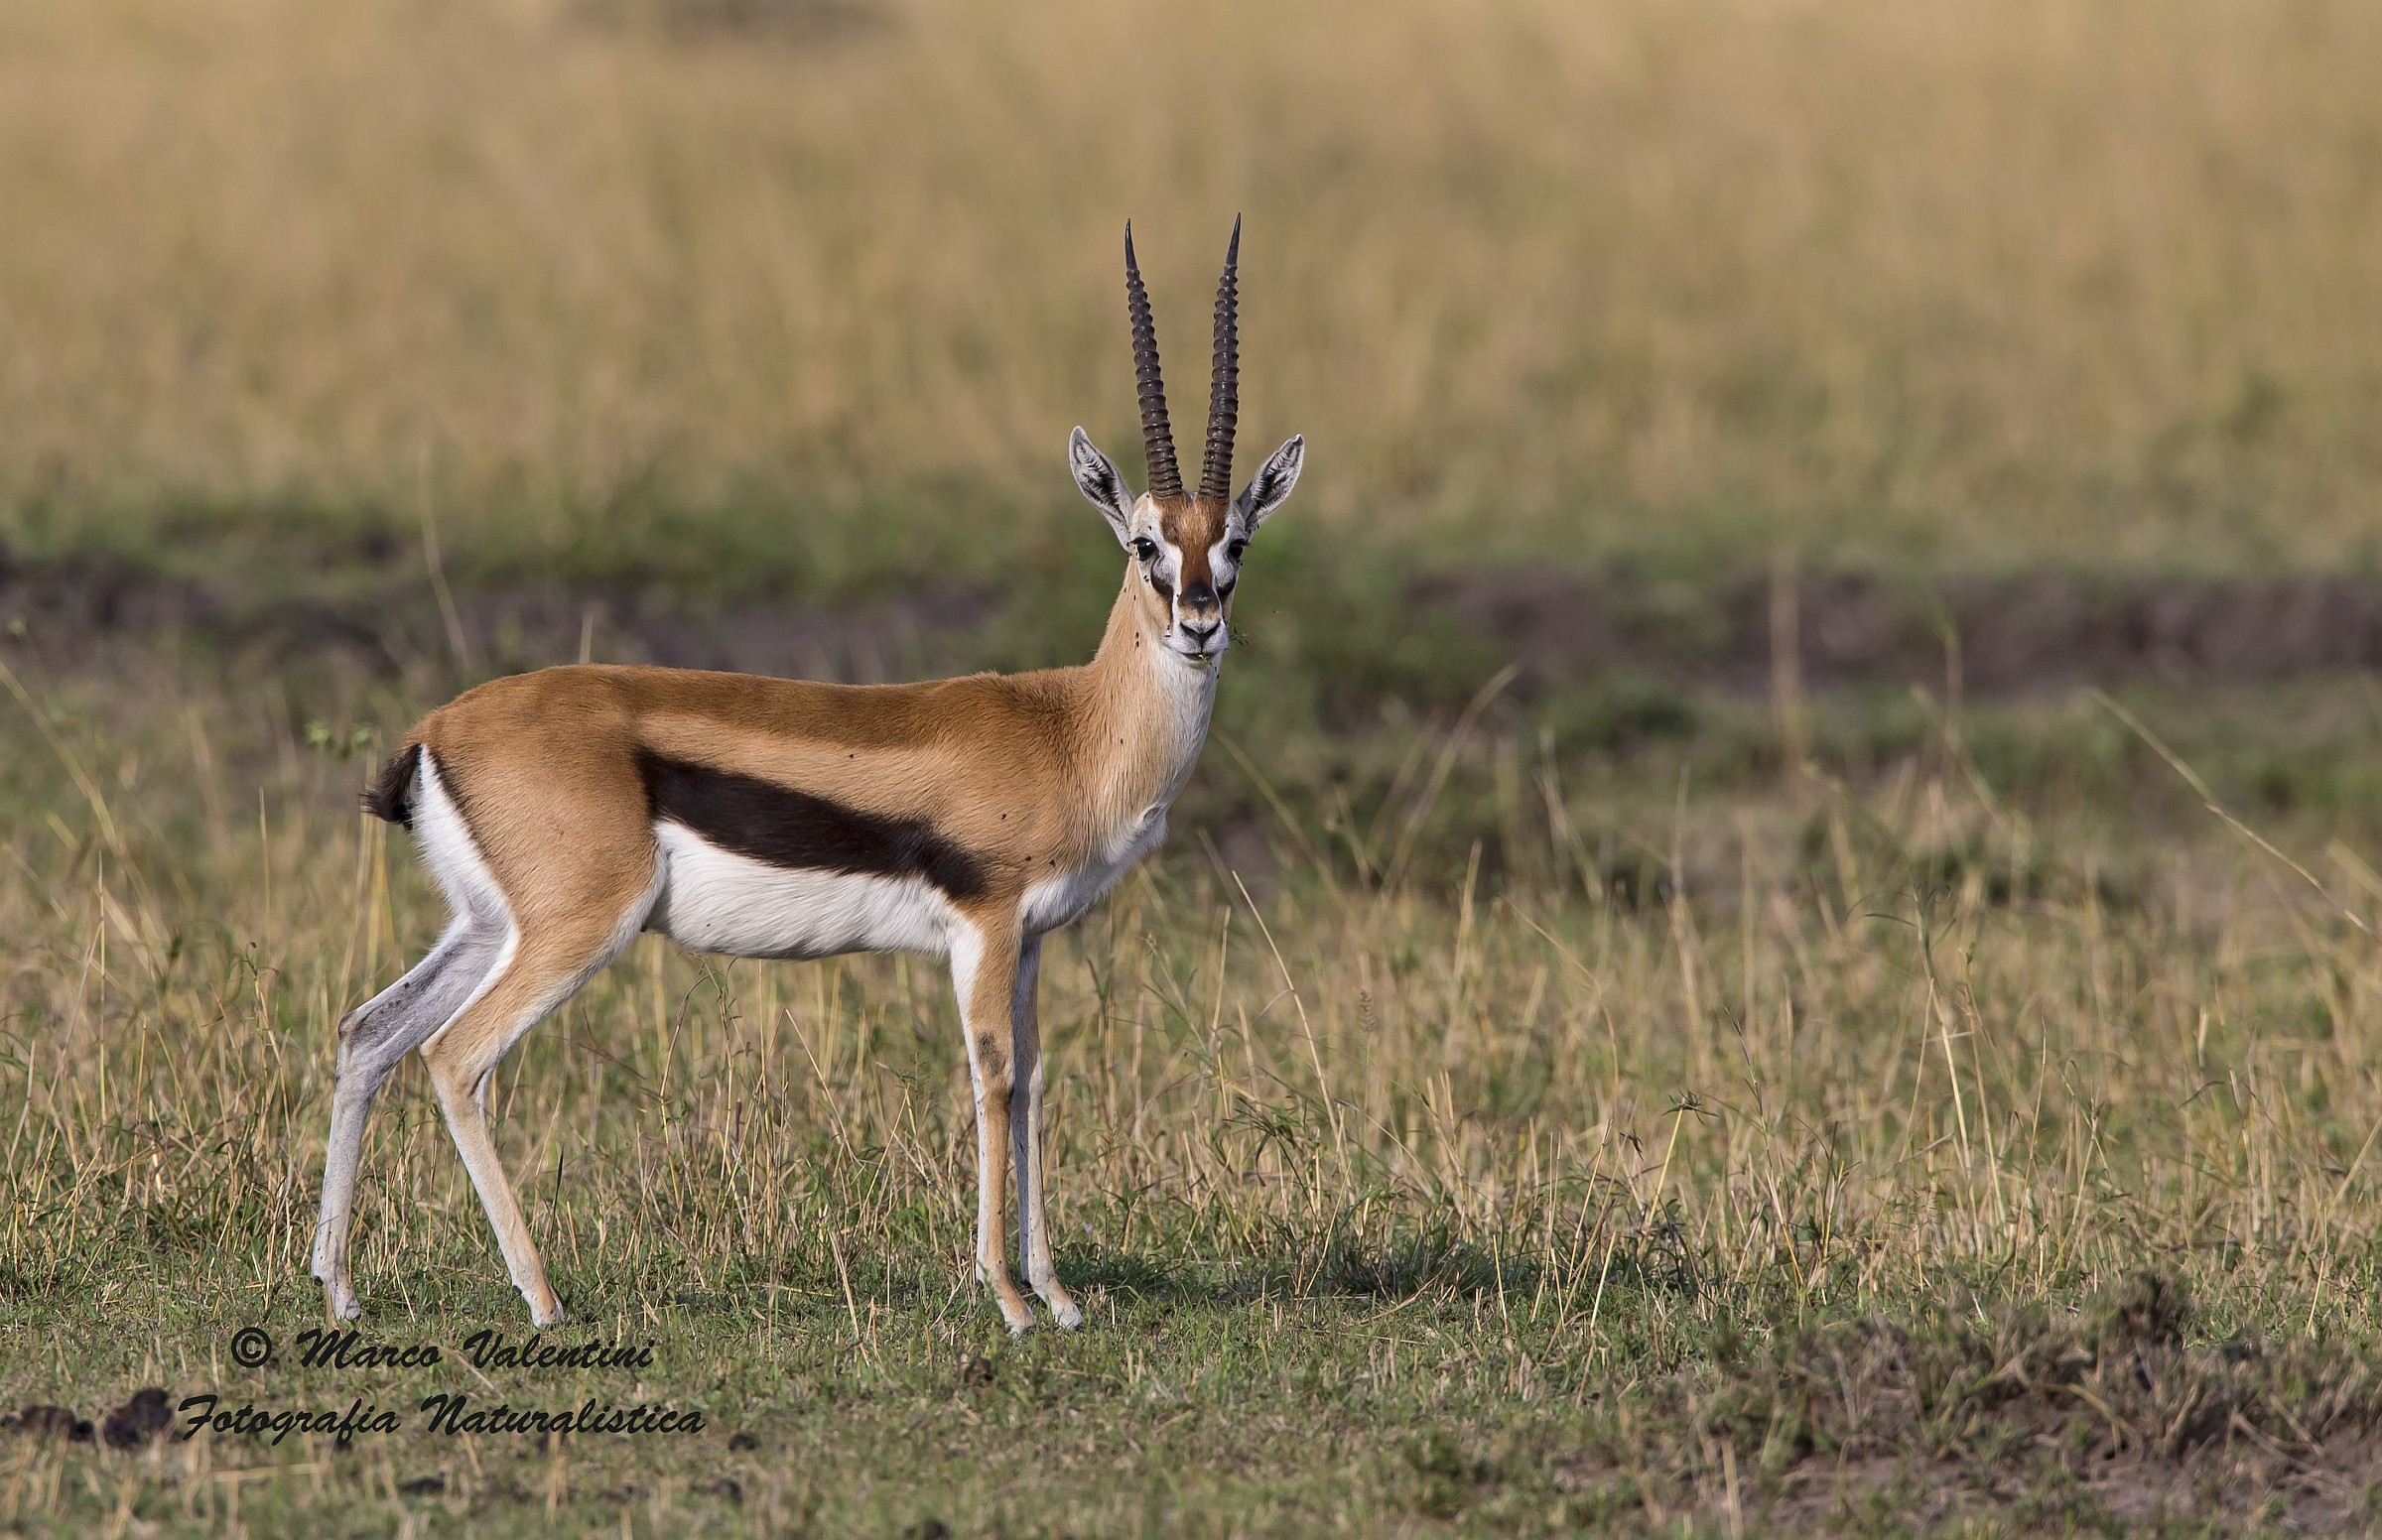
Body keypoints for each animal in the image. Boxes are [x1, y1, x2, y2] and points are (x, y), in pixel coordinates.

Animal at [310, 221, 1304, 1333]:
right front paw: (1008, 1298)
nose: (1200, 623)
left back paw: (339, 1290)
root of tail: (435, 729)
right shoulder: (986, 927)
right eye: (1145, 543)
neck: (1074, 729)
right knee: (456, 1057)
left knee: (370, 1033)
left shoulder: (1035, 940)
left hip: (487, 925)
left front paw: (1057, 1294)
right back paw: (543, 1297)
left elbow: (1039, 1082)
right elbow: (994, 1079)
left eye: (1235, 541)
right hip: (578, 926)